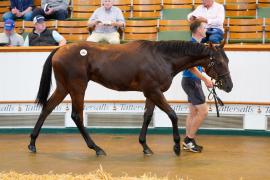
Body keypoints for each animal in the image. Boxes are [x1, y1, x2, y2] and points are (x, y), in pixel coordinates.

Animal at [28, 40, 233, 155]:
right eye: (219, 62)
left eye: (227, 60)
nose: (229, 86)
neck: (162, 58)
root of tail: (60, 49)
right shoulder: (154, 92)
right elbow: (173, 115)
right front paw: (176, 146)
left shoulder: (151, 93)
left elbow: (147, 117)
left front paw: (145, 146)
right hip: (78, 88)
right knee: (76, 116)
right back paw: (96, 148)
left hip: (64, 88)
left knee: (47, 108)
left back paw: (32, 143)